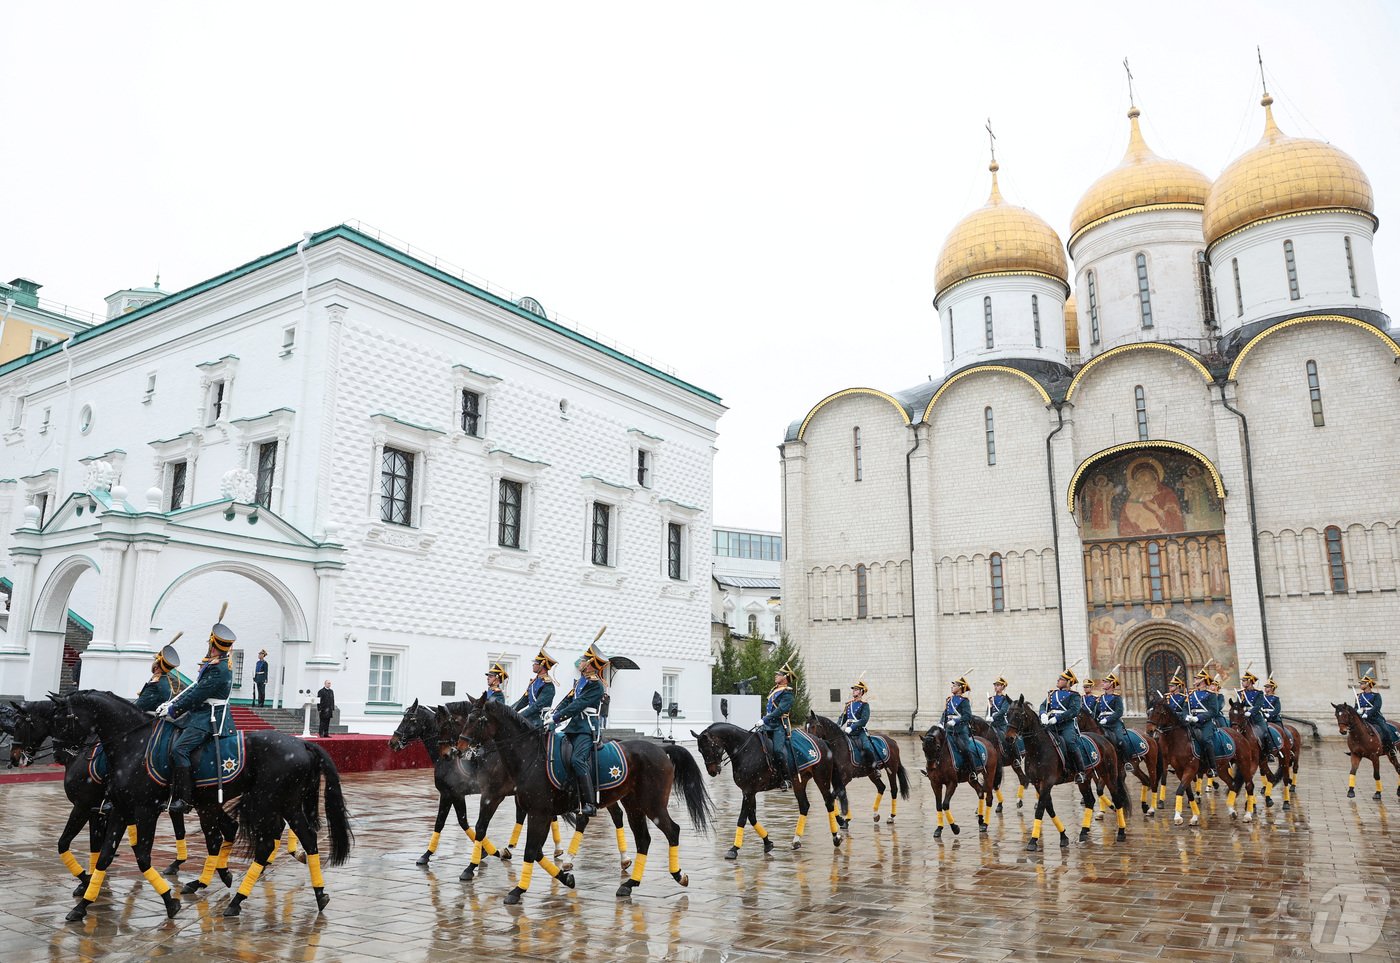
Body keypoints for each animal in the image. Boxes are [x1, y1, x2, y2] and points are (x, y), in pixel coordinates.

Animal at [51, 688, 352, 923]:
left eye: (62, 718)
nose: (60, 753)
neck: (132, 744)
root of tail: (302, 745)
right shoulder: (122, 809)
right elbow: (105, 855)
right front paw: (83, 904)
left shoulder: (144, 809)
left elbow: (142, 856)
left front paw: (169, 901)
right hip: (281, 803)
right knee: (306, 839)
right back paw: (318, 894)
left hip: (265, 802)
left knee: (265, 843)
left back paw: (236, 899)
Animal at [467, 697, 711, 907]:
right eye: (466, 718)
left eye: (477, 720)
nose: (461, 748)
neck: (530, 756)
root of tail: (661, 748)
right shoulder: (535, 811)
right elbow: (534, 851)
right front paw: (565, 878)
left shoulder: (537, 812)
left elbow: (530, 851)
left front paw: (517, 890)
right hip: (634, 805)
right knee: (643, 839)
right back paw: (629, 883)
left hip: (653, 805)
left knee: (672, 831)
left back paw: (678, 875)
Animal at [688, 722, 840, 856]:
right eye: (700, 750)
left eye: (708, 748)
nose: (712, 771)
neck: (745, 750)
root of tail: (822, 742)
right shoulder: (749, 792)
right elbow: (752, 817)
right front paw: (767, 843)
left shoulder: (748, 791)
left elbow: (742, 819)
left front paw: (734, 849)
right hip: (799, 782)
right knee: (804, 806)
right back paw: (796, 841)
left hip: (821, 778)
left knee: (829, 802)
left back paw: (836, 837)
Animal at [1002, 691, 1131, 851]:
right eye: (1007, 714)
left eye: (1019, 715)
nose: (1008, 738)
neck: (1037, 749)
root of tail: (1104, 739)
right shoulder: (1038, 784)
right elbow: (1049, 808)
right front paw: (1063, 836)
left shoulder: (1047, 783)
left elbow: (1040, 810)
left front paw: (1032, 840)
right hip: (1085, 779)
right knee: (1090, 800)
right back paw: (1083, 832)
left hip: (1109, 775)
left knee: (1117, 799)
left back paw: (1121, 832)